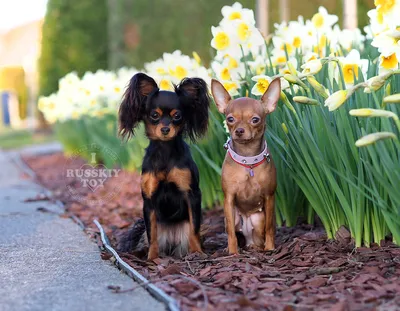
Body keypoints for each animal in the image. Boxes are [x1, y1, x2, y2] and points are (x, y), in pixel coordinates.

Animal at [118, 73, 209, 260]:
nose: (165, 129)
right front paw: (152, 258)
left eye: (177, 116)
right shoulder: (149, 200)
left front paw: (198, 253)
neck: (165, 151)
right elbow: (152, 233)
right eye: (154, 115)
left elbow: (194, 228)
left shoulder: (192, 195)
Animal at [211, 77, 280, 254]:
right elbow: (230, 232)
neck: (247, 161)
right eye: (230, 119)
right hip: (235, 217)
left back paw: (257, 247)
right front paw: (232, 252)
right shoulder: (228, 199)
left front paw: (270, 248)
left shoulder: (269, 197)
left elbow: (270, 227)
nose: (239, 130)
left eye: (255, 120)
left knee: (259, 235)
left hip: (258, 218)